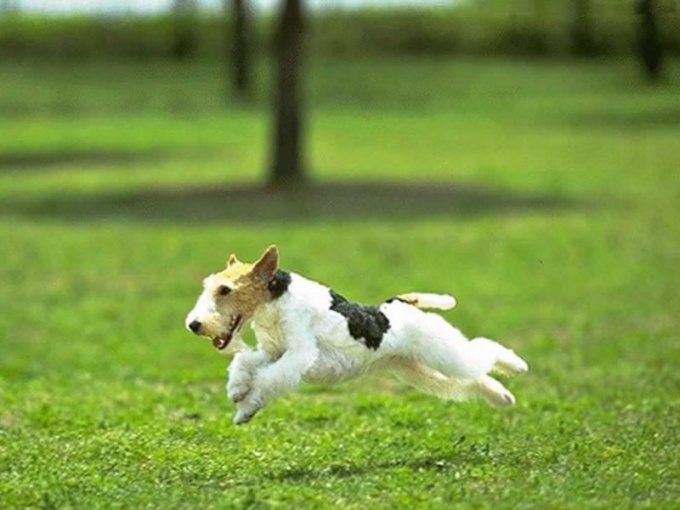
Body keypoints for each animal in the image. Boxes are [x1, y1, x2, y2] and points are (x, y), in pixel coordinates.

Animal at [187, 245, 532, 424]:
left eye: (225, 289)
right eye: (209, 286)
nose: (195, 325)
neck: (275, 301)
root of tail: (400, 303)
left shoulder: (298, 355)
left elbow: (267, 379)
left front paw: (246, 406)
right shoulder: (272, 352)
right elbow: (245, 363)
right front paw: (237, 391)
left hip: (443, 352)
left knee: (483, 349)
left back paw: (518, 366)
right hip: (416, 370)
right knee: (471, 380)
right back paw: (503, 397)